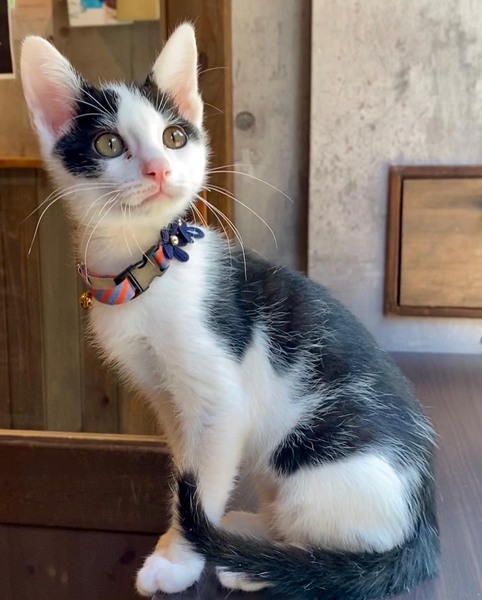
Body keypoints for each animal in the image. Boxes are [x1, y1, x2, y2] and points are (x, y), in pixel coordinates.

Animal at [21, 24, 439, 600]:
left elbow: (205, 477)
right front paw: (181, 537)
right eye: (109, 144)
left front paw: (177, 560)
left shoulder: (218, 400)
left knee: (350, 542)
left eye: (174, 137)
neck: (145, 270)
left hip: (319, 465)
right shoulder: (167, 398)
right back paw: (249, 532)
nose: (158, 169)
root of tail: (423, 522)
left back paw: (260, 564)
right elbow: (186, 473)